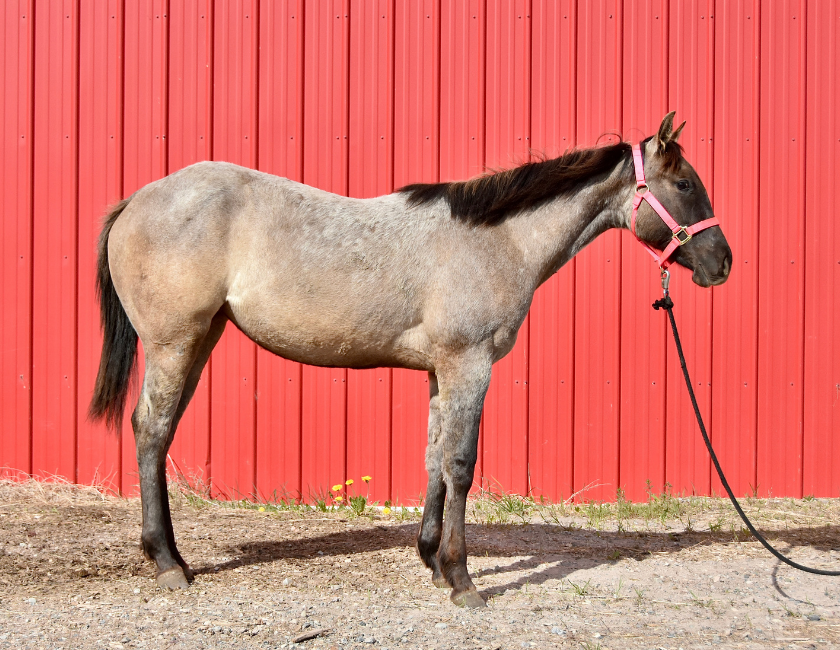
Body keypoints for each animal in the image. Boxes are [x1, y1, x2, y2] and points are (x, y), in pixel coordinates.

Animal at [89, 112, 731, 607]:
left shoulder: (440, 373)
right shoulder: (470, 366)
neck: (497, 240)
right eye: (684, 184)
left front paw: (431, 559)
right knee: (151, 430)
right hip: (174, 343)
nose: (722, 262)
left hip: (199, 341)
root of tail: (137, 200)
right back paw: (168, 563)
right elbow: (461, 466)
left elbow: (433, 459)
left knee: (159, 433)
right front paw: (463, 580)